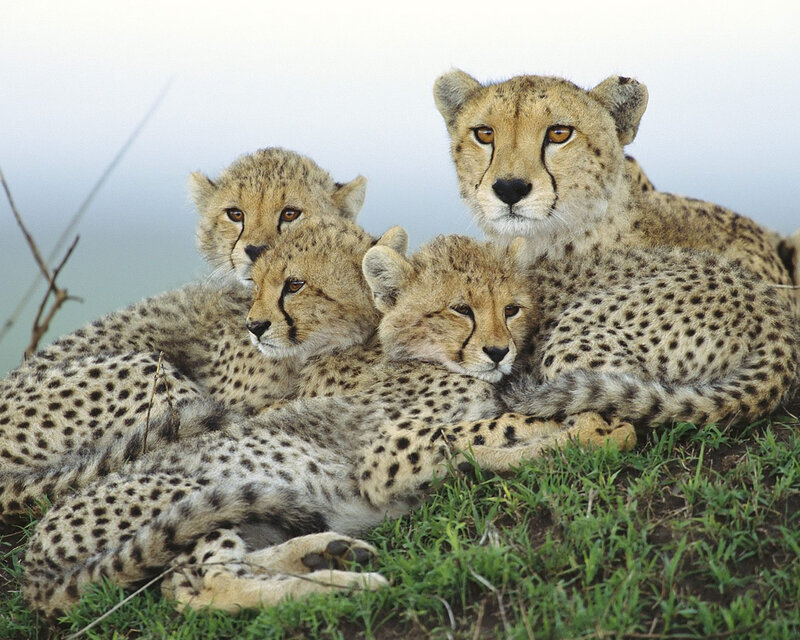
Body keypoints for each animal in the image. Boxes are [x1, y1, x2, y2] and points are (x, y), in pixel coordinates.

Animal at [21, 233, 636, 619]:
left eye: (511, 308)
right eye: (460, 309)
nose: (499, 351)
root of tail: (33, 551)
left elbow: (497, 431)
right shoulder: (387, 459)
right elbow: (493, 430)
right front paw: (595, 428)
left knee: (218, 568)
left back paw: (328, 553)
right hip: (192, 494)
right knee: (201, 585)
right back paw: (345, 588)